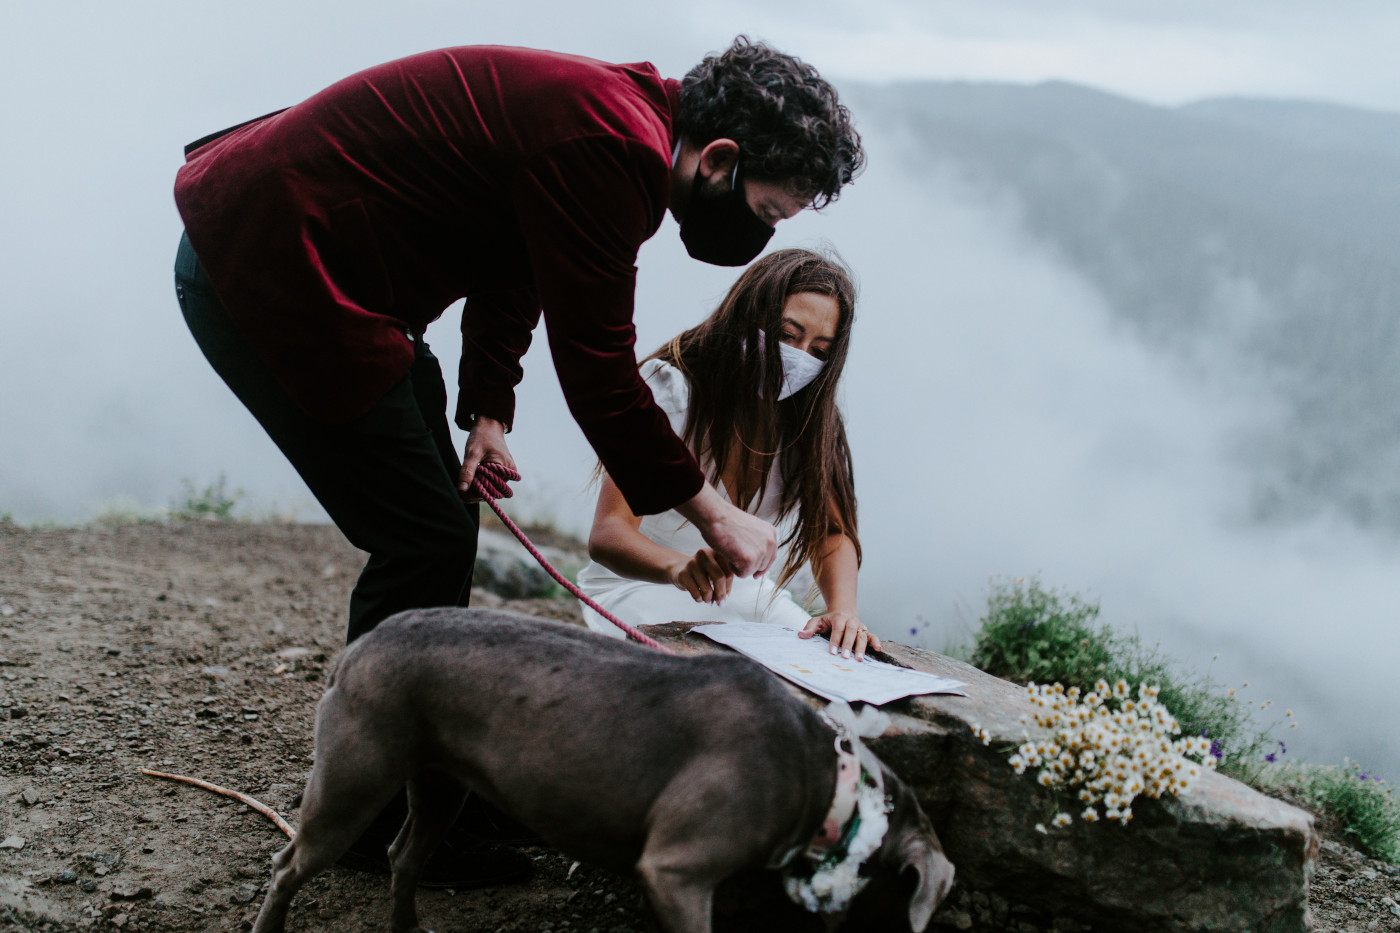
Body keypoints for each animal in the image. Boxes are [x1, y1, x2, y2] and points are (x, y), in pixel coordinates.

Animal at [252, 607, 957, 924]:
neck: (826, 781)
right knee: (289, 864)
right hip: (355, 775)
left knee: (404, 856)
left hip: (441, 782)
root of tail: (361, 643)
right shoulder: (676, 870)